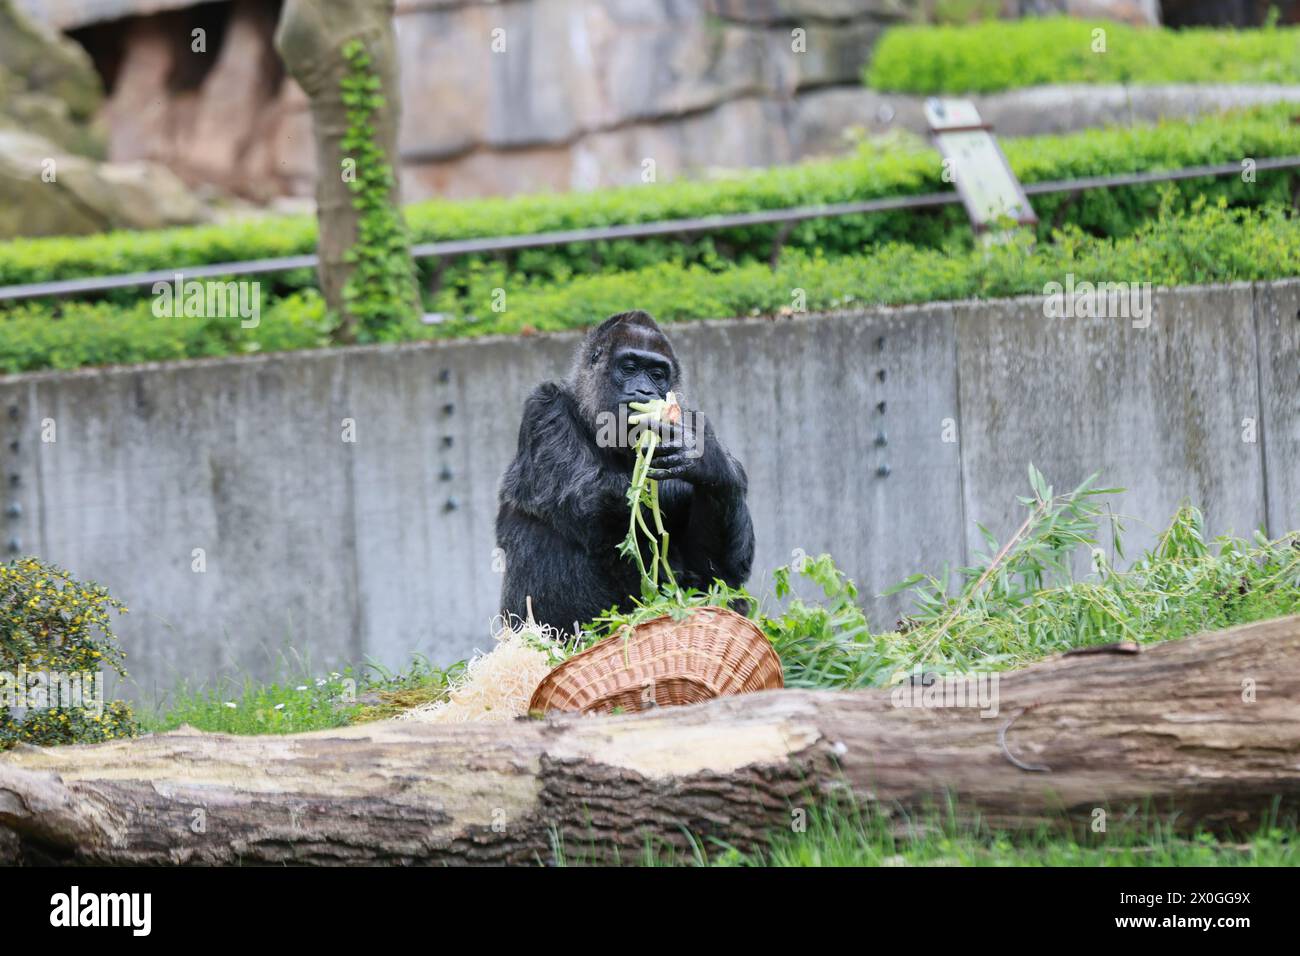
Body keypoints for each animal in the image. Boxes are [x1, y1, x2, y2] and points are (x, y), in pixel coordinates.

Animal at [496, 310, 759, 632]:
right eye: (630, 368)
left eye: (657, 375)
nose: (645, 391)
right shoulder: (544, 407)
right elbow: (587, 499)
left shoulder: (697, 418)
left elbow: (722, 568)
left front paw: (712, 463)